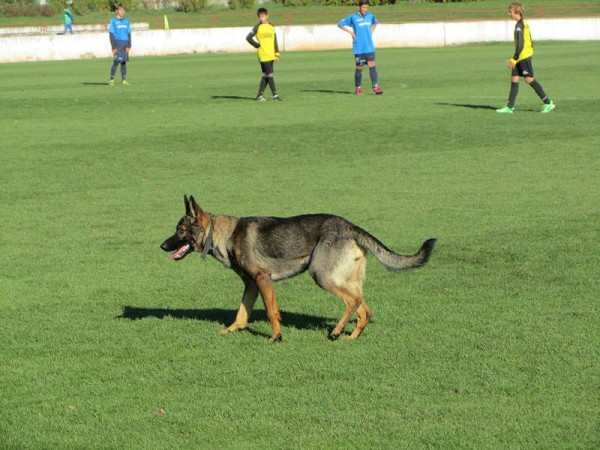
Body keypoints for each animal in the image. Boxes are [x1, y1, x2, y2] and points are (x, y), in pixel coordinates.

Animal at [162, 195, 436, 342]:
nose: (162, 245)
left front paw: (275, 337)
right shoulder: (250, 284)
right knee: (364, 309)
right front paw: (231, 330)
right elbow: (241, 314)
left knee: (353, 303)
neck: (224, 234)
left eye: (181, 231)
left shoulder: (262, 279)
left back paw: (336, 331)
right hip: (345, 280)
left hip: (322, 276)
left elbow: (271, 311)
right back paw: (350, 336)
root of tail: (351, 227)